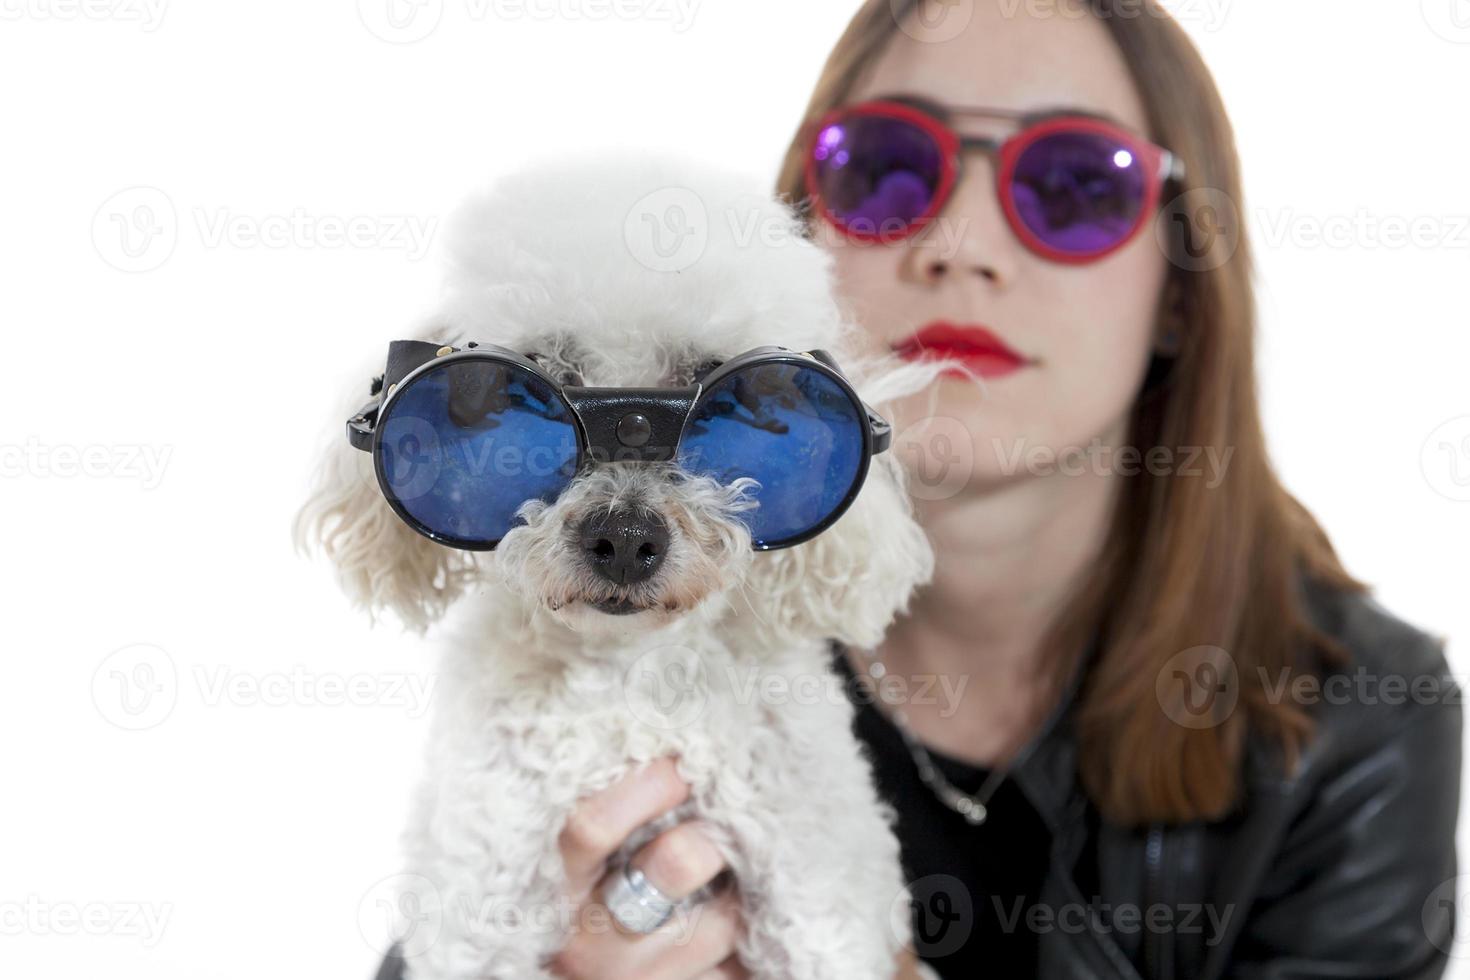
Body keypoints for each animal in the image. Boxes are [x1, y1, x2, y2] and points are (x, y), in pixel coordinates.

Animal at [295, 155, 952, 980]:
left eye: (724, 395)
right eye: (530, 386)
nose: (625, 538)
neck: (630, 681)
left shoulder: (820, 900)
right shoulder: (480, 908)